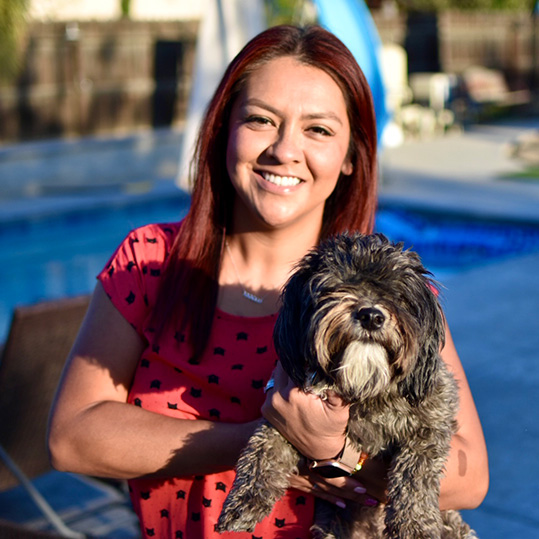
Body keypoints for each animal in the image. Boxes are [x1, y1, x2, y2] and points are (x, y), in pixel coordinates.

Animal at [217, 234, 474, 536]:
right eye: (338, 285)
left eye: (398, 295)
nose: (371, 315)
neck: (365, 387)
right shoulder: (287, 416)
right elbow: (264, 444)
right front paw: (244, 499)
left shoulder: (433, 419)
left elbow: (417, 472)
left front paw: (414, 525)